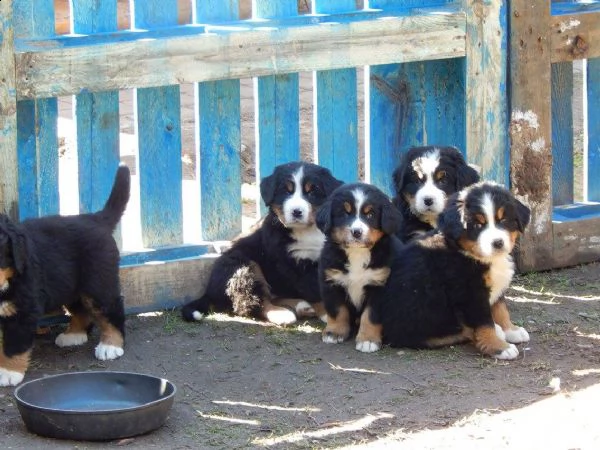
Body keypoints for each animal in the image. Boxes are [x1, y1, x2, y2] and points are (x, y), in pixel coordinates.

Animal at [0, 165, 131, 386]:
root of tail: (95, 218)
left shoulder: (23, 308)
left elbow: (14, 344)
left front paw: (8, 372)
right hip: (70, 285)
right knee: (81, 310)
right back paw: (74, 335)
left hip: (98, 283)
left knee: (111, 310)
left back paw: (111, 345)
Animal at [179, 163, 342, 326]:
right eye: (285, 191)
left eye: (312, 191)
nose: (296, 211)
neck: (308, 231)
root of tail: (209, 292)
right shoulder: (294, 264)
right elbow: (312, 290)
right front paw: (328, 314)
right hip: (243, 266)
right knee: (254, 302)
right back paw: (281, 313)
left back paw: (302, 306)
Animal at [314, 183, 404, 352]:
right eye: (345, 213)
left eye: (370, 215)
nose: (357, 232)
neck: (357, 253)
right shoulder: (332, 281)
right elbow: (337, 310)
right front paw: (334, 332)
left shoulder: (379, 286)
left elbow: (370, 316)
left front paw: (368, 340)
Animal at [380, 181, 528, 360]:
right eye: (477, 225)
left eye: (504, 220)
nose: (498, 243)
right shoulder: (471, 293)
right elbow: (485, 322)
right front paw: (499, 347)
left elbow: (501, 308)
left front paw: (511, 329)